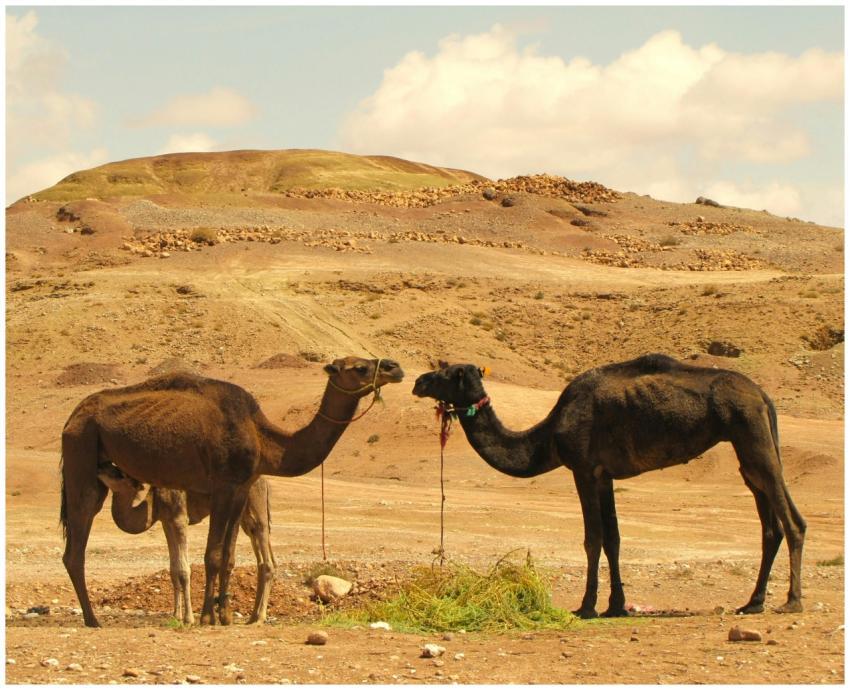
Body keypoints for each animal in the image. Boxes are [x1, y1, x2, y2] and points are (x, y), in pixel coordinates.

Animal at [98, 465, 274, 625]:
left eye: (118, 473)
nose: (100, 469)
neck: (153, 499)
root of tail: (265, 483)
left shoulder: (179, 517)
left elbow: (184, 571)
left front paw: (188, 619)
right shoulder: (166, 521)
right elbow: (174, 569)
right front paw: (176, 616)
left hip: (255, 507)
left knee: (266, 555)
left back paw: (259, 617)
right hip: (246, 517)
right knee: (261, 556)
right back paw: (253, 617)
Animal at [412, 354, 806, 618]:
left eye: (446, 373)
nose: (418, 381)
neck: (548, 435)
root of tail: (763, 395)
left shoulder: (584, 469)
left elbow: (593, 539)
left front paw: (586, 606)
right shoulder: (604, 476)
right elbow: (614, 539)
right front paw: (616, 605)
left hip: (750, 431)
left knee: (792, 521)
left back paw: (791, 601)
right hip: (749, 443)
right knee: (769, 521)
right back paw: (753, 602)